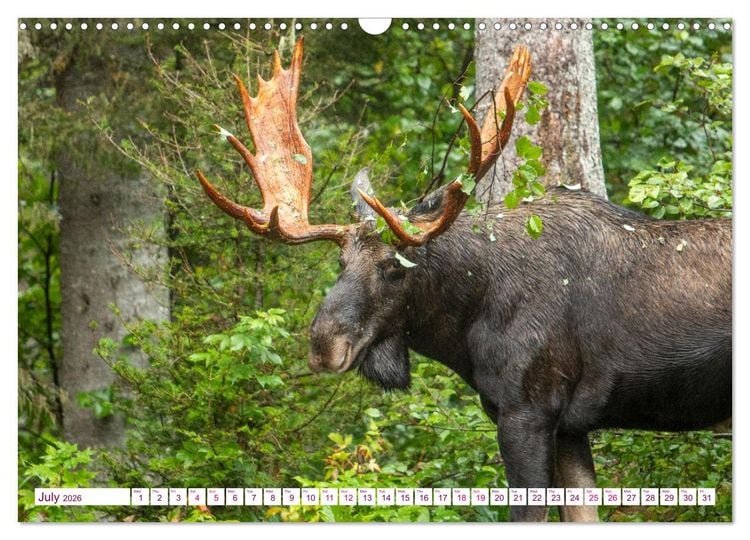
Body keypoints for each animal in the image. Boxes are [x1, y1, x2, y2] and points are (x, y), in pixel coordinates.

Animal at [196, 37, 732, 522]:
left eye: (396, 267)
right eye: (340, 263)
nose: (324, 346)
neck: (466, 325)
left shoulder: (526, 412)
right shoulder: (570, 428)